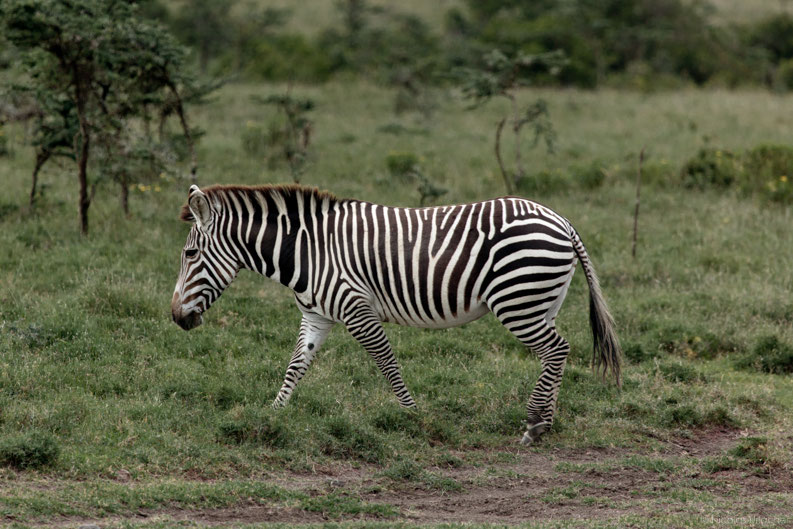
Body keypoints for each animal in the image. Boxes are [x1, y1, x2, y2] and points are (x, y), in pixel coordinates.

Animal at [171, 184, 621, 445]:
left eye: (189, 254)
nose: (176, 318)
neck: (307, 252)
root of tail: (561, 220)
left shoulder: (356, 308)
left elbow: (386, 362)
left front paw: (413, 416)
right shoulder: (317, 315)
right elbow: (296, 365)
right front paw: (271, 414)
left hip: (518, 301)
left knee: (557, 350)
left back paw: (533, 424)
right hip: (542, 302)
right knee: (554, 355)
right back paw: (547, 420)